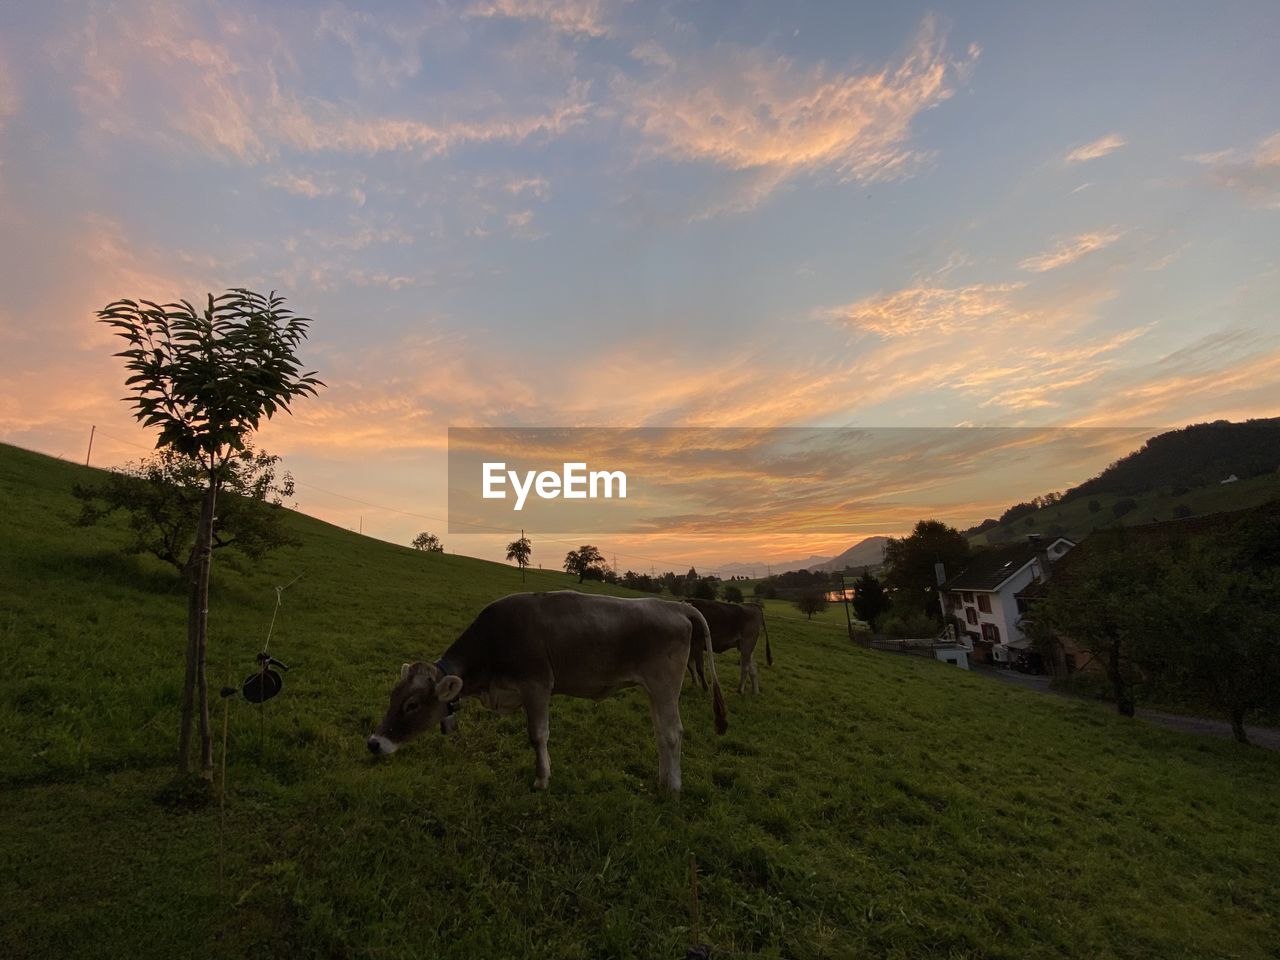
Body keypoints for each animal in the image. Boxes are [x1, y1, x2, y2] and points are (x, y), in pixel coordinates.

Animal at [373, 593, 727, 798]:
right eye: (393, 697)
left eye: (412, 704)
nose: (374, 743)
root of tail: (674, 604)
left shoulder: (537, 685)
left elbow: (537, 735)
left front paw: (541, 779)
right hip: (655, 690)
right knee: (661, 733)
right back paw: (663, 779)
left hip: (665, 684)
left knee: (672, 733)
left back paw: (673, 788)